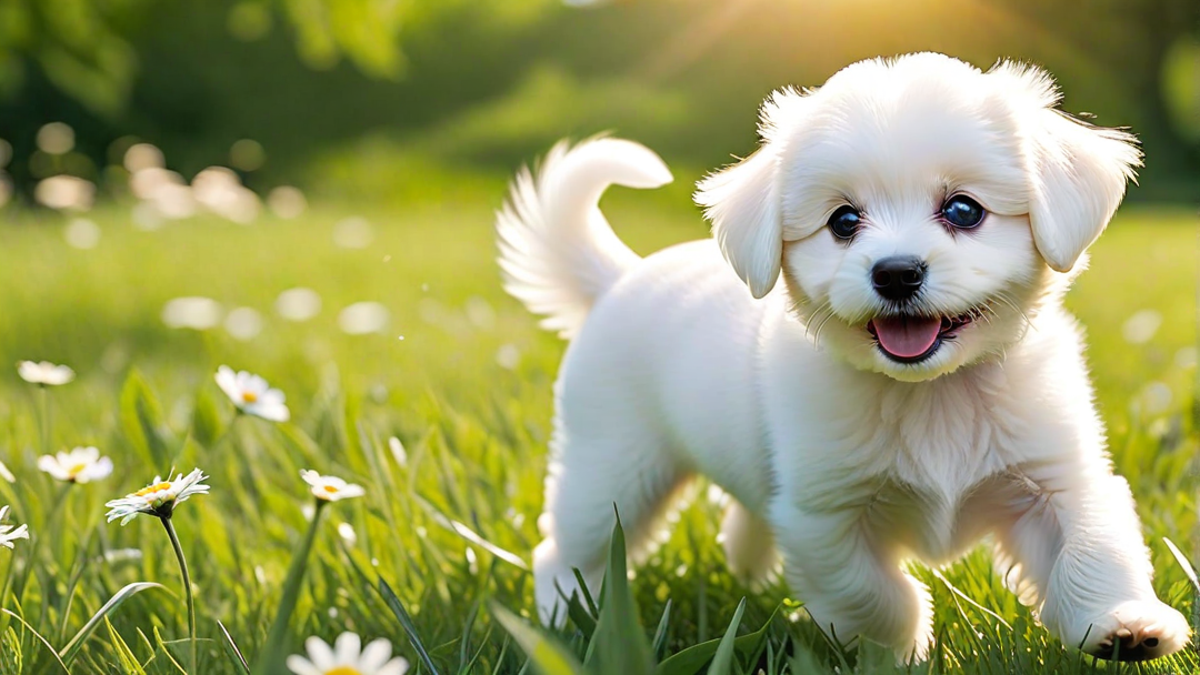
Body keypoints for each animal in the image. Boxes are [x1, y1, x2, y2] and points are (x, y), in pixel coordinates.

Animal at [494, 53, 1190, 662]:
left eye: (963, 209)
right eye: (843, 220)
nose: (896, 272)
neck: (932, 393)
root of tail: (619, 276)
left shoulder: (1058, 475)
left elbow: (1093, 548)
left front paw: (1124, 625)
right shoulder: (823, 518)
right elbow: (873, 594)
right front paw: (899, 651)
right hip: (612, 467)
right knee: (569, 549)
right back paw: (567, 625)